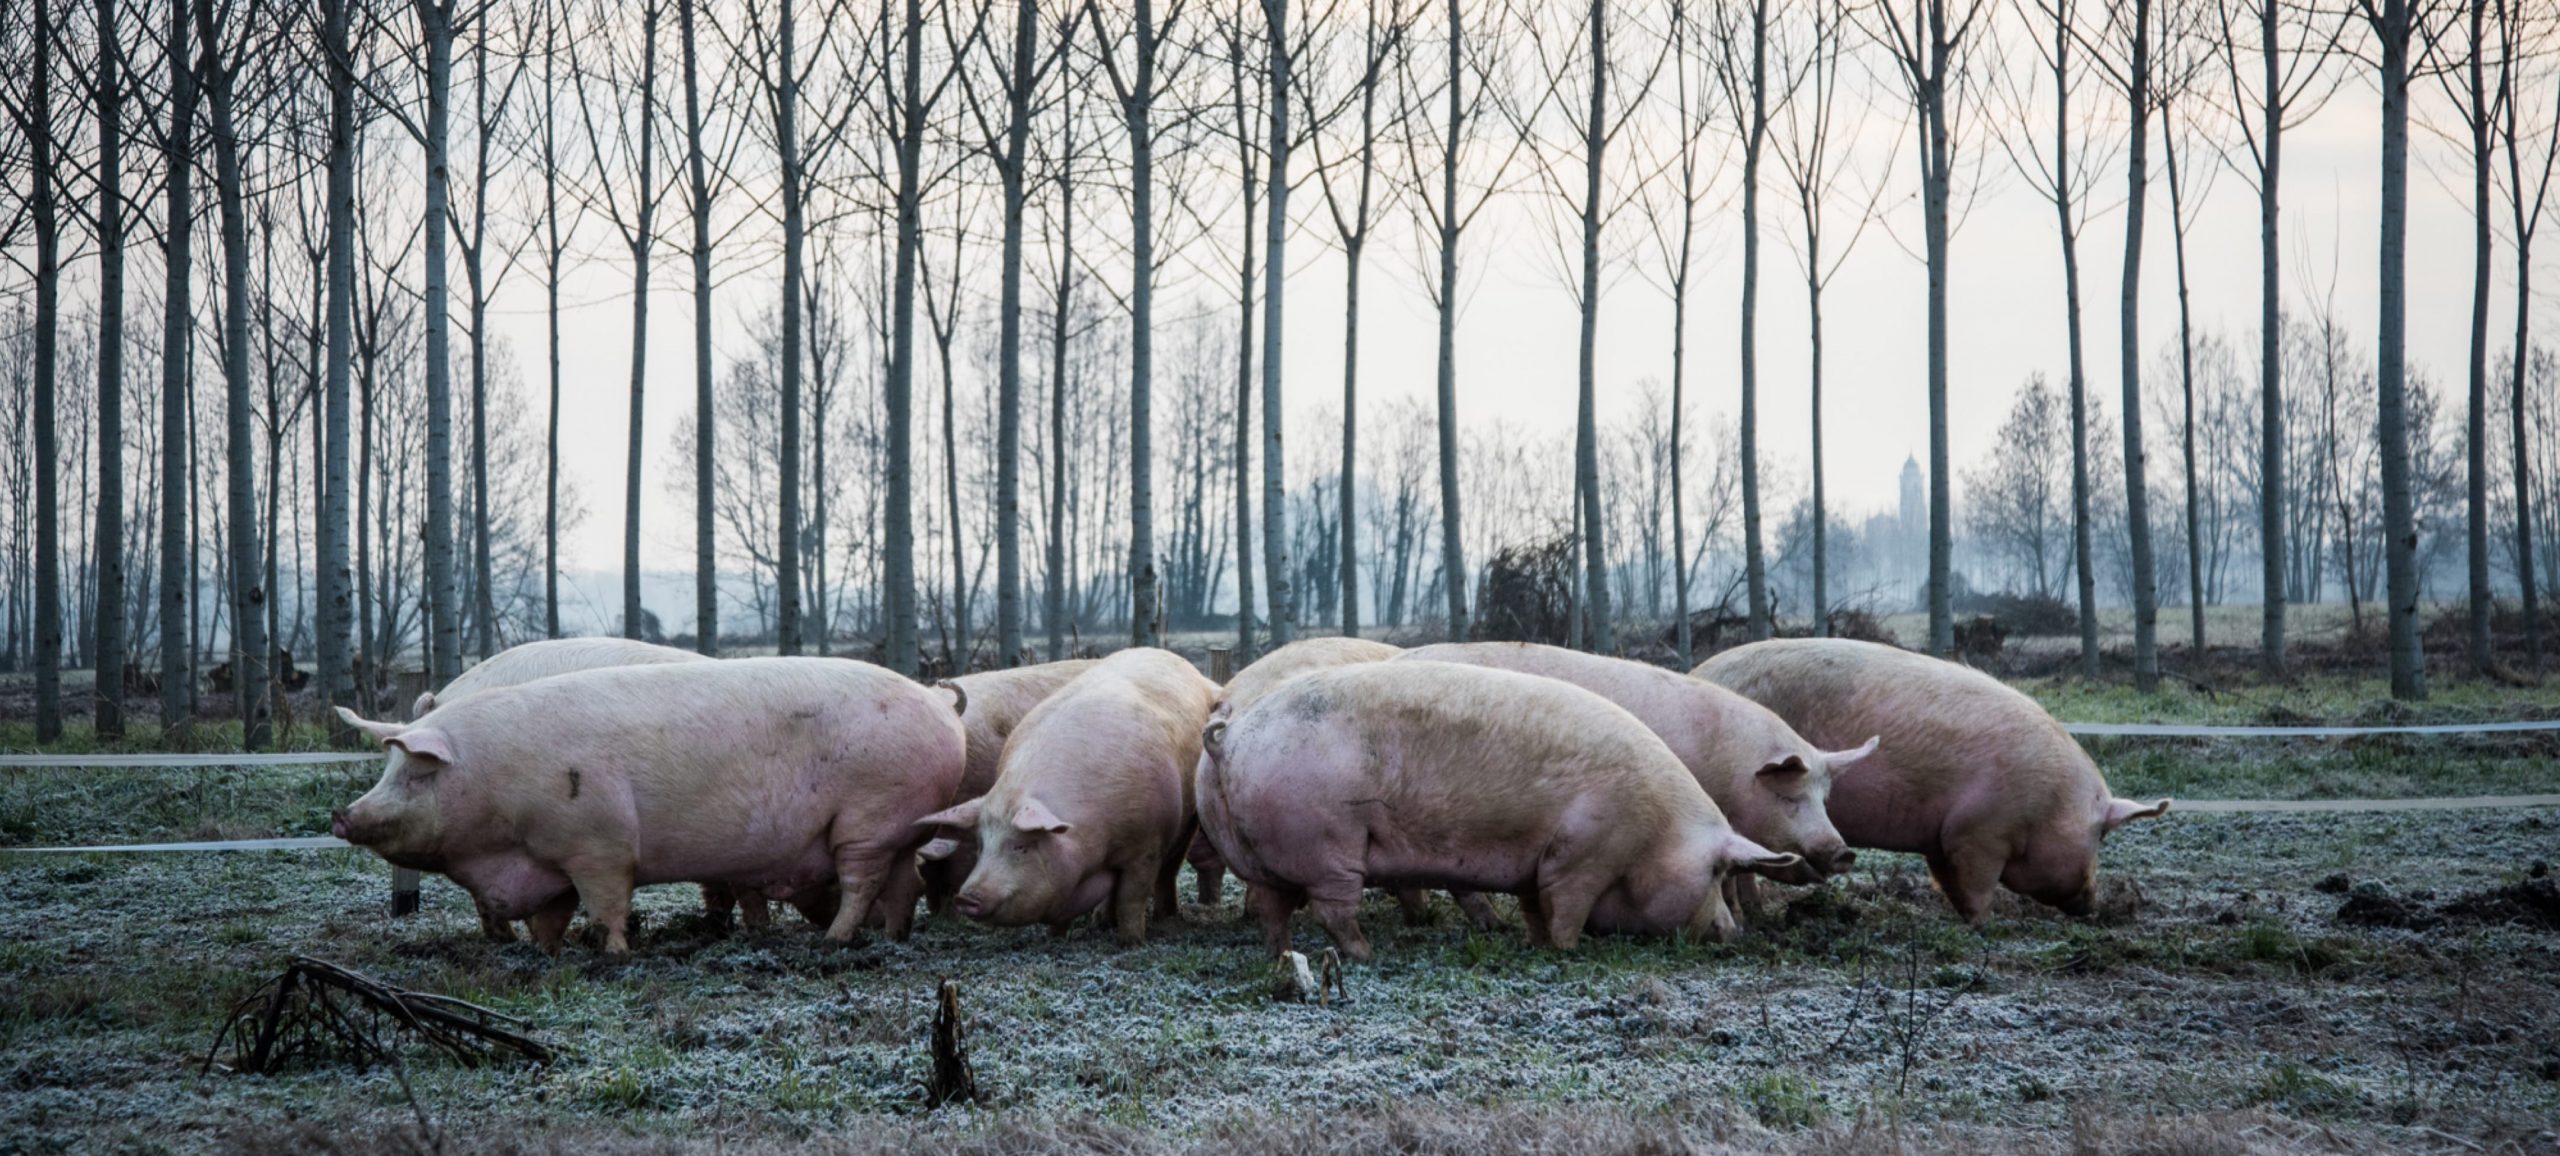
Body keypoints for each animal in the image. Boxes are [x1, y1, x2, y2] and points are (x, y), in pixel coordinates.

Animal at [921, 644, 1218, 946]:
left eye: (1021, 847)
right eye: (981, 844)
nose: (967, 899)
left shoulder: (1148, 845)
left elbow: (1131, 898)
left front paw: (1132, 942)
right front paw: (1056, 938)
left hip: (1187, 822)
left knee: (1169, 869)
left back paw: (1166, 919)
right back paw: (1101, 922)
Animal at [1198, 659, 1802, 956]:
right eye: (1718, 870)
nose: (1732, 932)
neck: (1657, 835)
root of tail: (1230, 738)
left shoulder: (1538, 861)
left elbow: (1536, 905)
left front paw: (1531, 943)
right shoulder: (1585, 851)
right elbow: (1566, 907)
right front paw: (1565, 952)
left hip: (1261, 855)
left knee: (1271, 912)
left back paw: (1281, 956)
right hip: (1328, 847)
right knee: (1332, 912)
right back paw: (1366, 955)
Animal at [1689, 631, 2170, 920]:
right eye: (2101, 835)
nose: (2092, 904)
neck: (2051, 805)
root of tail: (1699, 672)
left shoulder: (1941, 837)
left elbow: (1948, 880)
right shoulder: (1978, 832)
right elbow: (1977, 887)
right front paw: (1982, 926)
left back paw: (1758, 911)